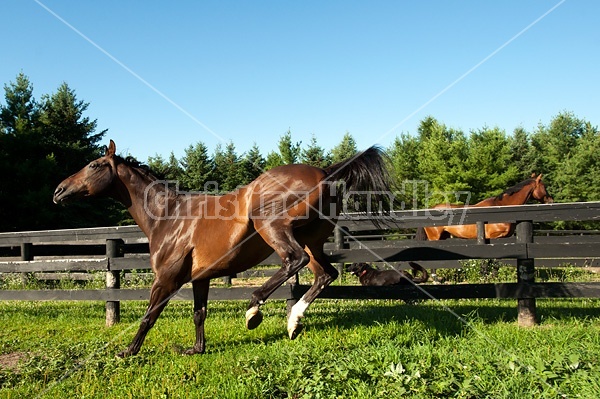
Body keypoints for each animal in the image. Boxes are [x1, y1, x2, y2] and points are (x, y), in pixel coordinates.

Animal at [52, 141, 394, 360]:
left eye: (94, 165)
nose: (58, 191)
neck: (168, 217)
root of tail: (325, 172)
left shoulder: (166, 280)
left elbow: (149, 316)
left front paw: (128, 352)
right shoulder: (200, 279)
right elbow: (199, 314)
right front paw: (195, 350)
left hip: (274, 228)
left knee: (292, 262)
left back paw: (254, 311)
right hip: (312, 241)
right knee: (326, 274)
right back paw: (293, 323)